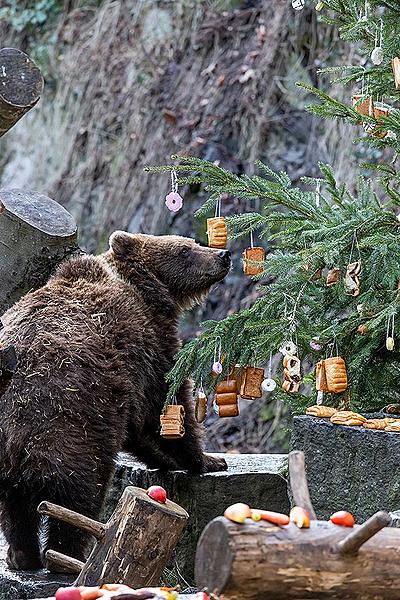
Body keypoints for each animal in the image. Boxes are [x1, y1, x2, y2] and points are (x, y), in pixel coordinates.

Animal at [0, 231, 230, 572]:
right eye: (184, 249)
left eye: (193, 242)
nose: (223, 255)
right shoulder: (145, 348)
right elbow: (165, 406)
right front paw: (206, 460)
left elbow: (140, 429)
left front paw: (167, 460)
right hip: (63, 418)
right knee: (80, 487)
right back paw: (67, 555)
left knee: (12, 502)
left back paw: (21, 555)